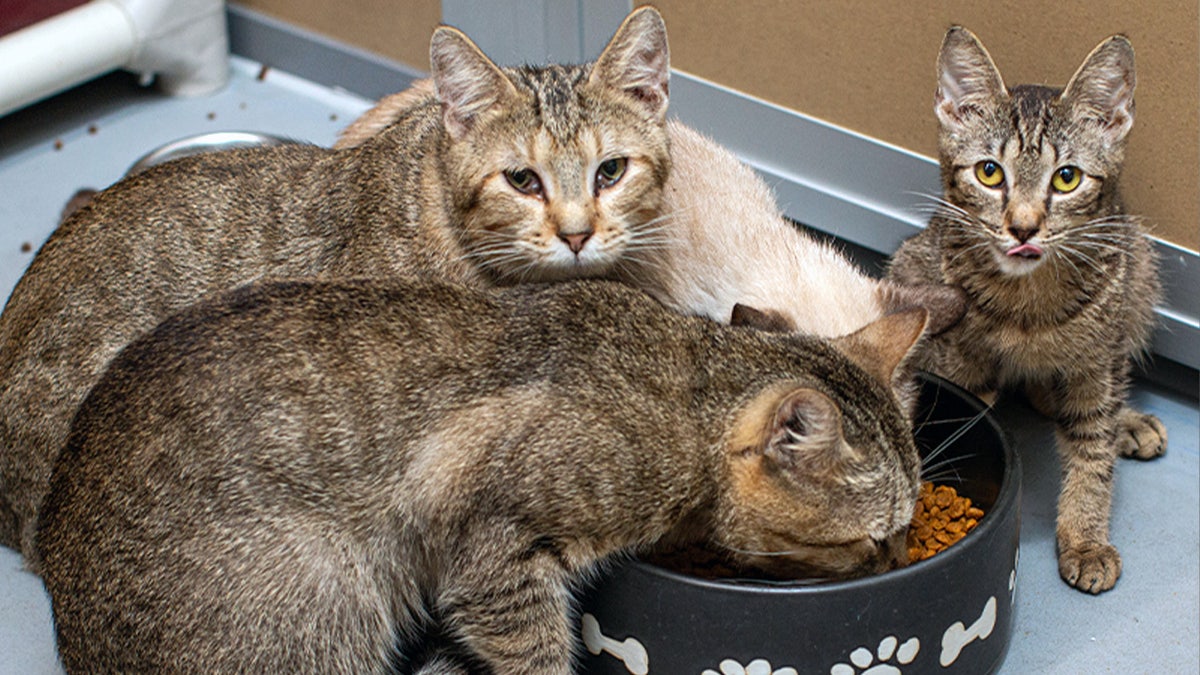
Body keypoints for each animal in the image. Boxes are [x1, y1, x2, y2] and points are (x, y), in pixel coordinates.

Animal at [32, 275, 921, 672]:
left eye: (906, 533)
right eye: (874, 538)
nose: (898, 560)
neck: (683, 383)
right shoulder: (493, 554)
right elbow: (536, 654)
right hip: (324, 600)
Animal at [888, 27, 1166, 593]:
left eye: (1067, 178)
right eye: (989, 172)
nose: (1022, 226)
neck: (1029, 304)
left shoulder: (1098, 360)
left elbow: (1094, 449)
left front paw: (1085, 537)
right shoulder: (961, 361)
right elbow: (969, 419)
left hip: (1140, 269)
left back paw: (1126, 420)